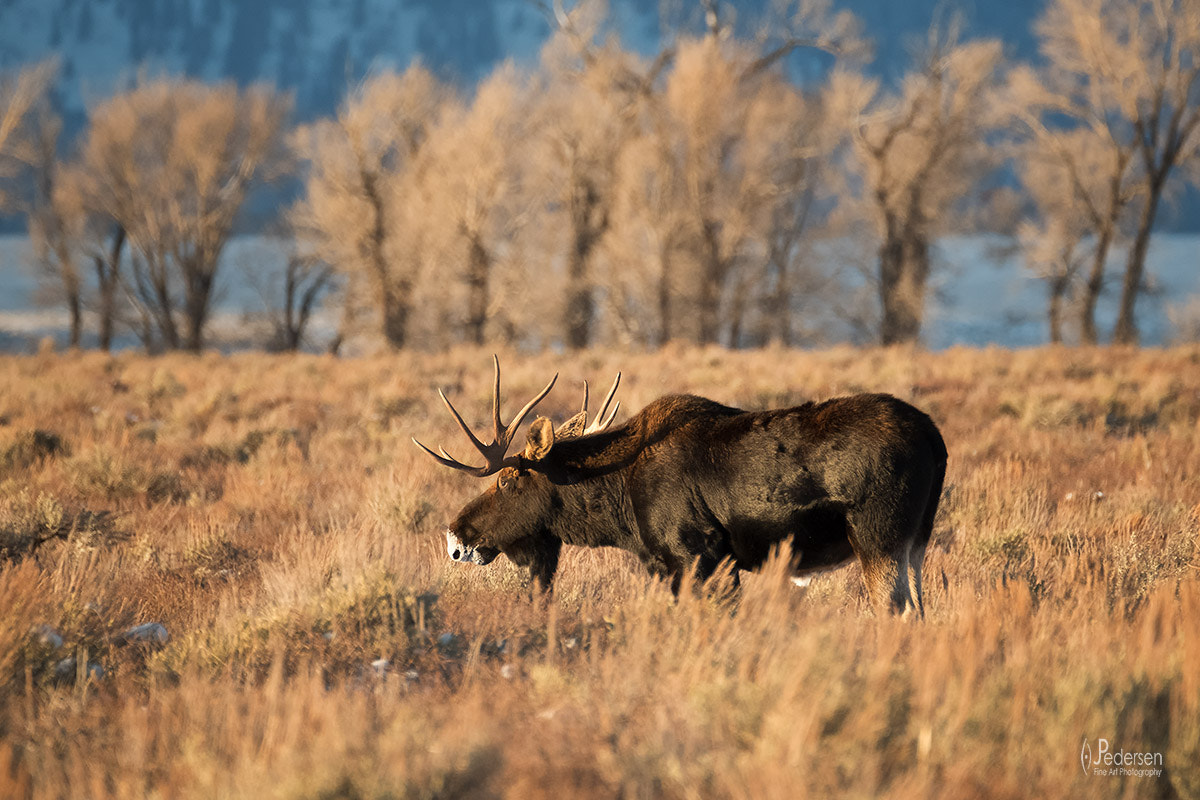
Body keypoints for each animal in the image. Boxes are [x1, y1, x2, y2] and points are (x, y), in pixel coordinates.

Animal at [415, 357, 945, 618]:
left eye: (508, 479)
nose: (455, 537)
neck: (620, 507)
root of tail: (937, 442)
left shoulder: (696, 555)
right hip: (915, 542)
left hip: (877, 538)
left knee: (895, 614)